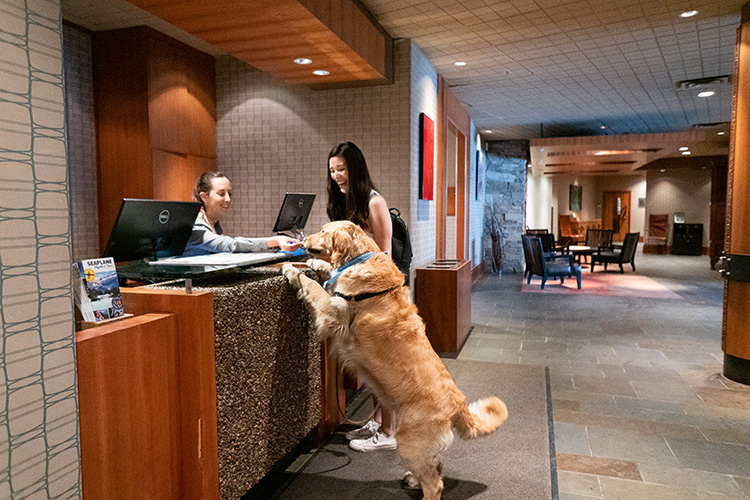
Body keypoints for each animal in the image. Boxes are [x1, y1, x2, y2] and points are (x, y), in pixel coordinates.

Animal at [284, 223, 512, 500]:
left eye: (324, 231)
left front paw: (291, 270)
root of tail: (459, 404)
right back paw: (413, 479)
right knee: (436, 466)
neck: (362, 259)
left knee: (435, 484)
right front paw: (314, 263)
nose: (303, 239)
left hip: (410, 440)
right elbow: (329, 274)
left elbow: (313, 286)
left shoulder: (332, 313)